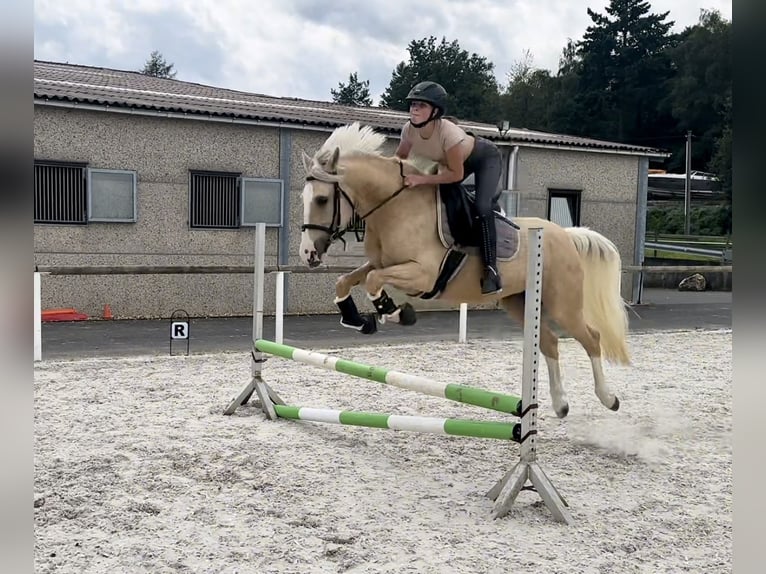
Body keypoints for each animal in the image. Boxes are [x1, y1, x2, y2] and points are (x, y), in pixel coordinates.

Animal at [298, 122, 632, 418]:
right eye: (304, 198)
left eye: (322, 199)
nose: (307, 254)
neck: (395, 208)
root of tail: (566, 235)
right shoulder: (383, 263)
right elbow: (346, 280)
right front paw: (357, 320)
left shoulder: (422, 275)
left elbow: (372, 280)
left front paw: (395, 312)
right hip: (519, 301)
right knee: (549, 342)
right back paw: (561, 404)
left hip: (563, 304)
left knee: (591, 338)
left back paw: (609, 398)